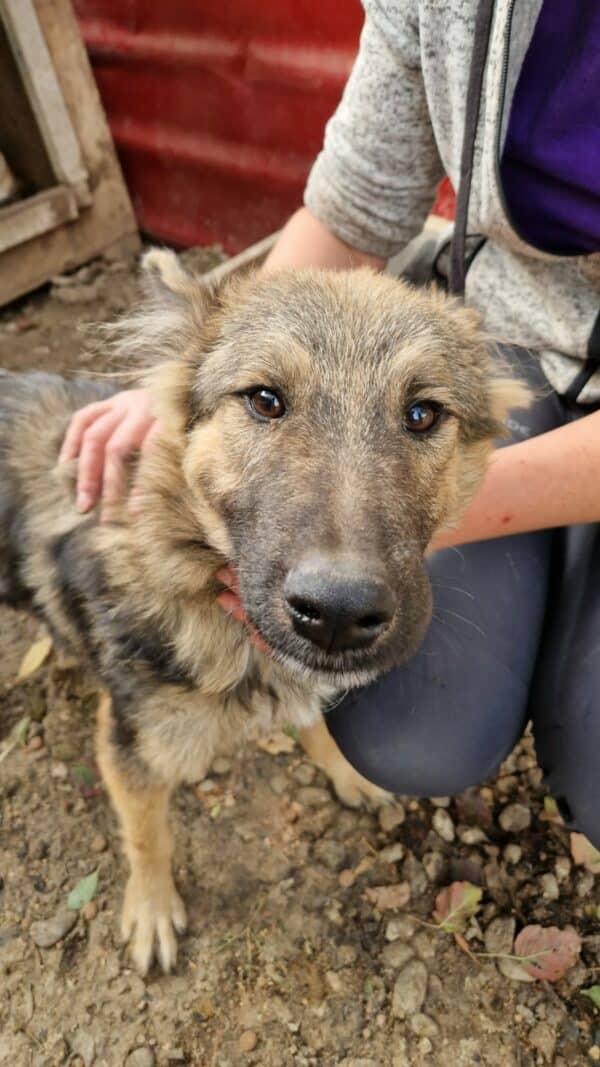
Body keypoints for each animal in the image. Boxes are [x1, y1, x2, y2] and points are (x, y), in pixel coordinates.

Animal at [0, 253, 523, 973]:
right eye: (264, 400)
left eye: (422, 413)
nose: (337, 612)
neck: (189, 556)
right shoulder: (128, 741)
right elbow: (148, 835)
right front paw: (152, 908)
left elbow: (315, 720)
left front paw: (344, 771)